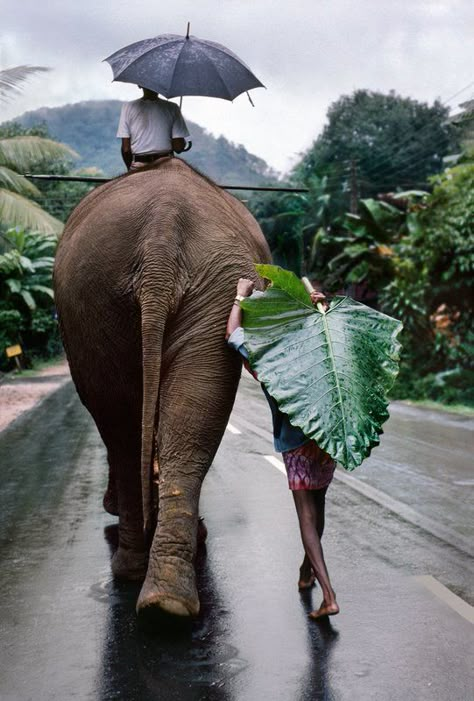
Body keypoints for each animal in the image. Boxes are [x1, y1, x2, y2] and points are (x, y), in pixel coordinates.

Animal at [53, 157, 270, 616]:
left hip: (120, 289)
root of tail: (161, 228)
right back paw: (162, 596)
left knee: (124, 422)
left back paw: (151, 586)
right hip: (106, 291)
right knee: (144, 421)